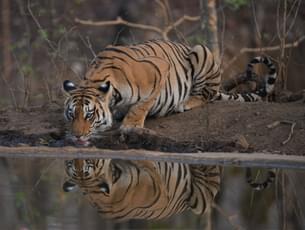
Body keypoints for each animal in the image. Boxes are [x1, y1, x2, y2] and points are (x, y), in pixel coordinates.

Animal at [61, 39, 276, 144]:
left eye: (89, 115)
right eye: (71, 115)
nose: (77, 136)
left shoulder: (158, 70)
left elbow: (141, 105)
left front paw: (130, 125)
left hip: (201, 52)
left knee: (206, 95)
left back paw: (185, 103)